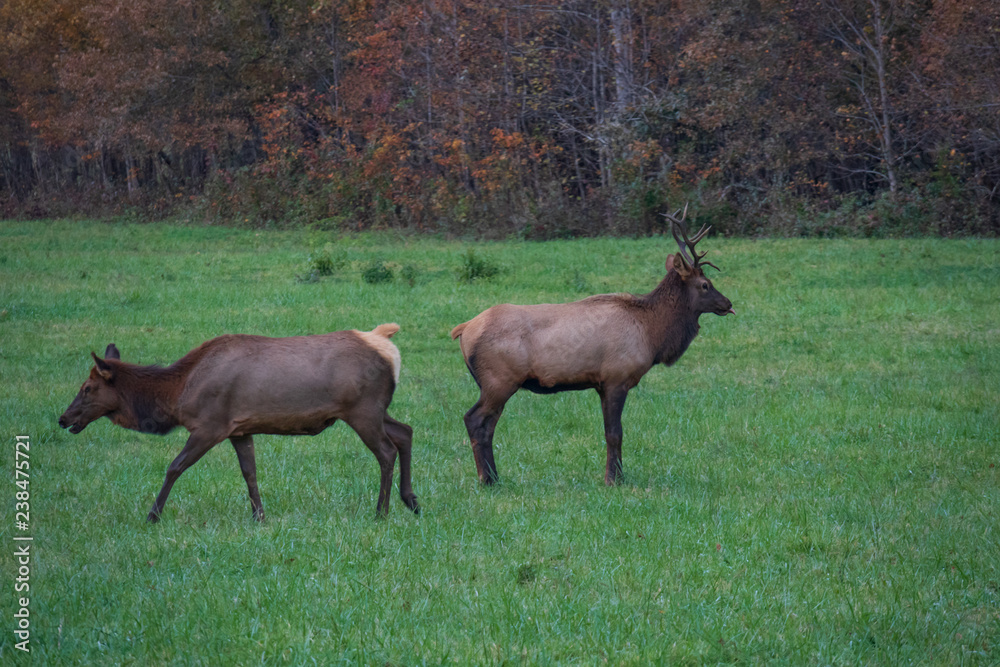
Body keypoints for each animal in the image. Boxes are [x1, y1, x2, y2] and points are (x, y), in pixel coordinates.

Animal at [58, 324, 420, 522]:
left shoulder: (210, 425)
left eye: (87, 388)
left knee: (386, 450)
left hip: (362, 409)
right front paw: (259, 516)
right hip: (375, 410)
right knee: (405, 432)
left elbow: (175, 466)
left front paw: (152, 515)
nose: (63, 418)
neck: (177, 395)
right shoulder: (240, 429)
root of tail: (386, 342)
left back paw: (381, 511)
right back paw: (412, 501)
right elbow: (250, 473)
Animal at [450, 208, 735, 486]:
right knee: (473, 419)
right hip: (499, 380)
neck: (652, 334)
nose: (728, 303)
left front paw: (616, 475)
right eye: (705, 284)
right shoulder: (616, 378)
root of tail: (463, 329)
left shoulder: (600, 384)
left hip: (495, 384)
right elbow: (615, 433)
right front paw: (613, 479)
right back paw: (486, 479)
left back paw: (494, 477)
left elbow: (612, 432)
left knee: (488, 426)